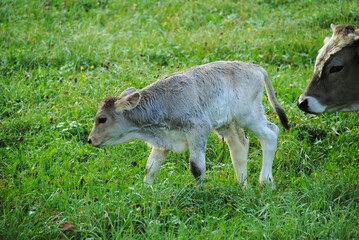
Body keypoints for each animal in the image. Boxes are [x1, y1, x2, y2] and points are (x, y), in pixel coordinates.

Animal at [88, 61, 292, 188]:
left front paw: (199, 191)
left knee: (271, 133)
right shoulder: (163, 141)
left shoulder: (198, 129)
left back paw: (265, 181)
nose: (90, 140)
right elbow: (151, 166)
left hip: (249, 116)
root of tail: (254, 67)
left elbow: (196, 167)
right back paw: (243, 184)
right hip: (229, 123)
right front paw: (145, 191)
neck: (165, 102)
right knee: (239, 146)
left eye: (102, 119)